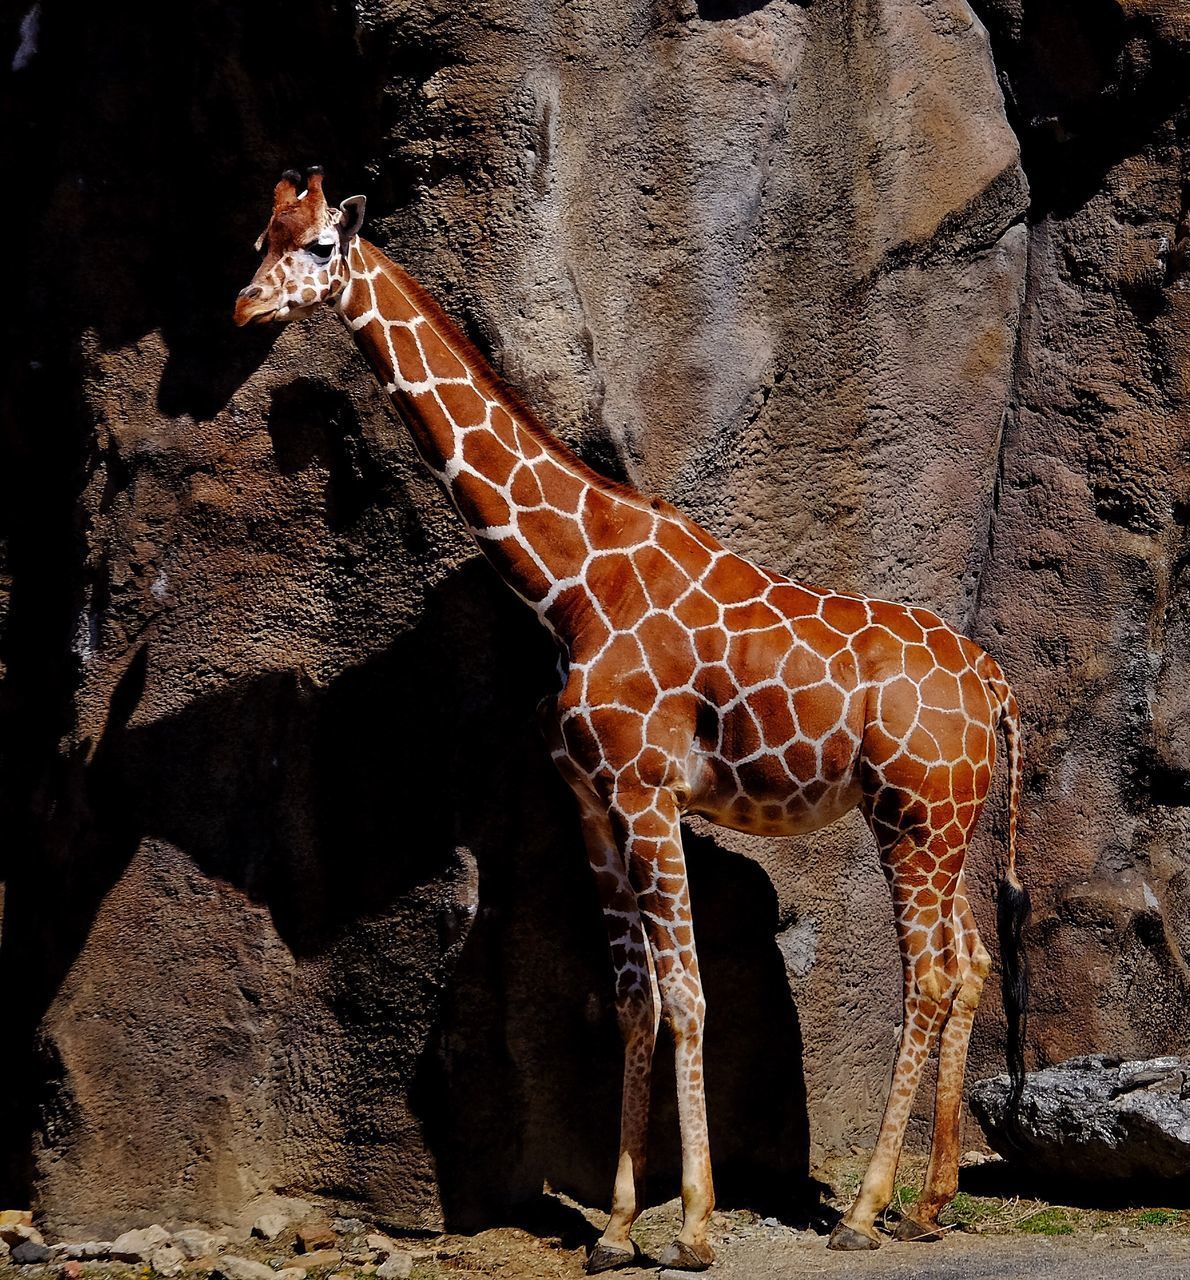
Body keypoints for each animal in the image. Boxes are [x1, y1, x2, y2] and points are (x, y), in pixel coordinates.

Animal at [234, 167, 1028, 1269]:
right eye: (256, 239)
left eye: (316, 246)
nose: (243, 309)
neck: (569, 582)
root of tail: (990, 678)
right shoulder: (594, 802)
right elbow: (630, 997)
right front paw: (613, 1227)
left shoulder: (649, 792)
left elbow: (689, 993)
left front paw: (691, 1225)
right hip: (937, 818)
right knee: (969, 960)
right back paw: (930, 1200)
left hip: (915, 816)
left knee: (929, 976)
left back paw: (866, 1210)